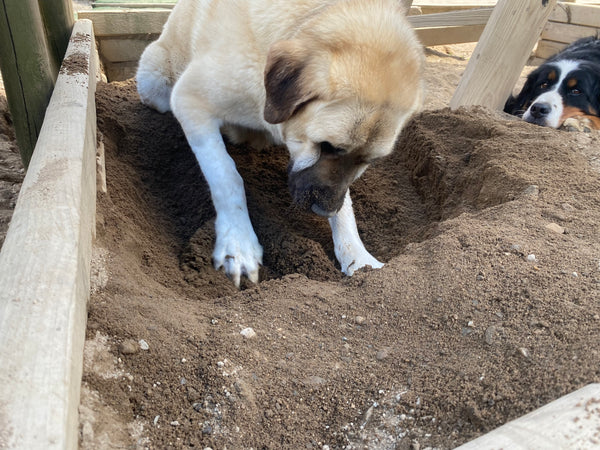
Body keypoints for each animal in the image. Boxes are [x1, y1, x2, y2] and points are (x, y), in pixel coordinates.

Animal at [138, 0, 424, 286]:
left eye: (369, 161)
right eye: (327, 146)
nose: (325, 212)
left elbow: (347, 205)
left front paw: (357, 256)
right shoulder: (189, 100)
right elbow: (226, 176)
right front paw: (238, 243)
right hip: (154, 82)